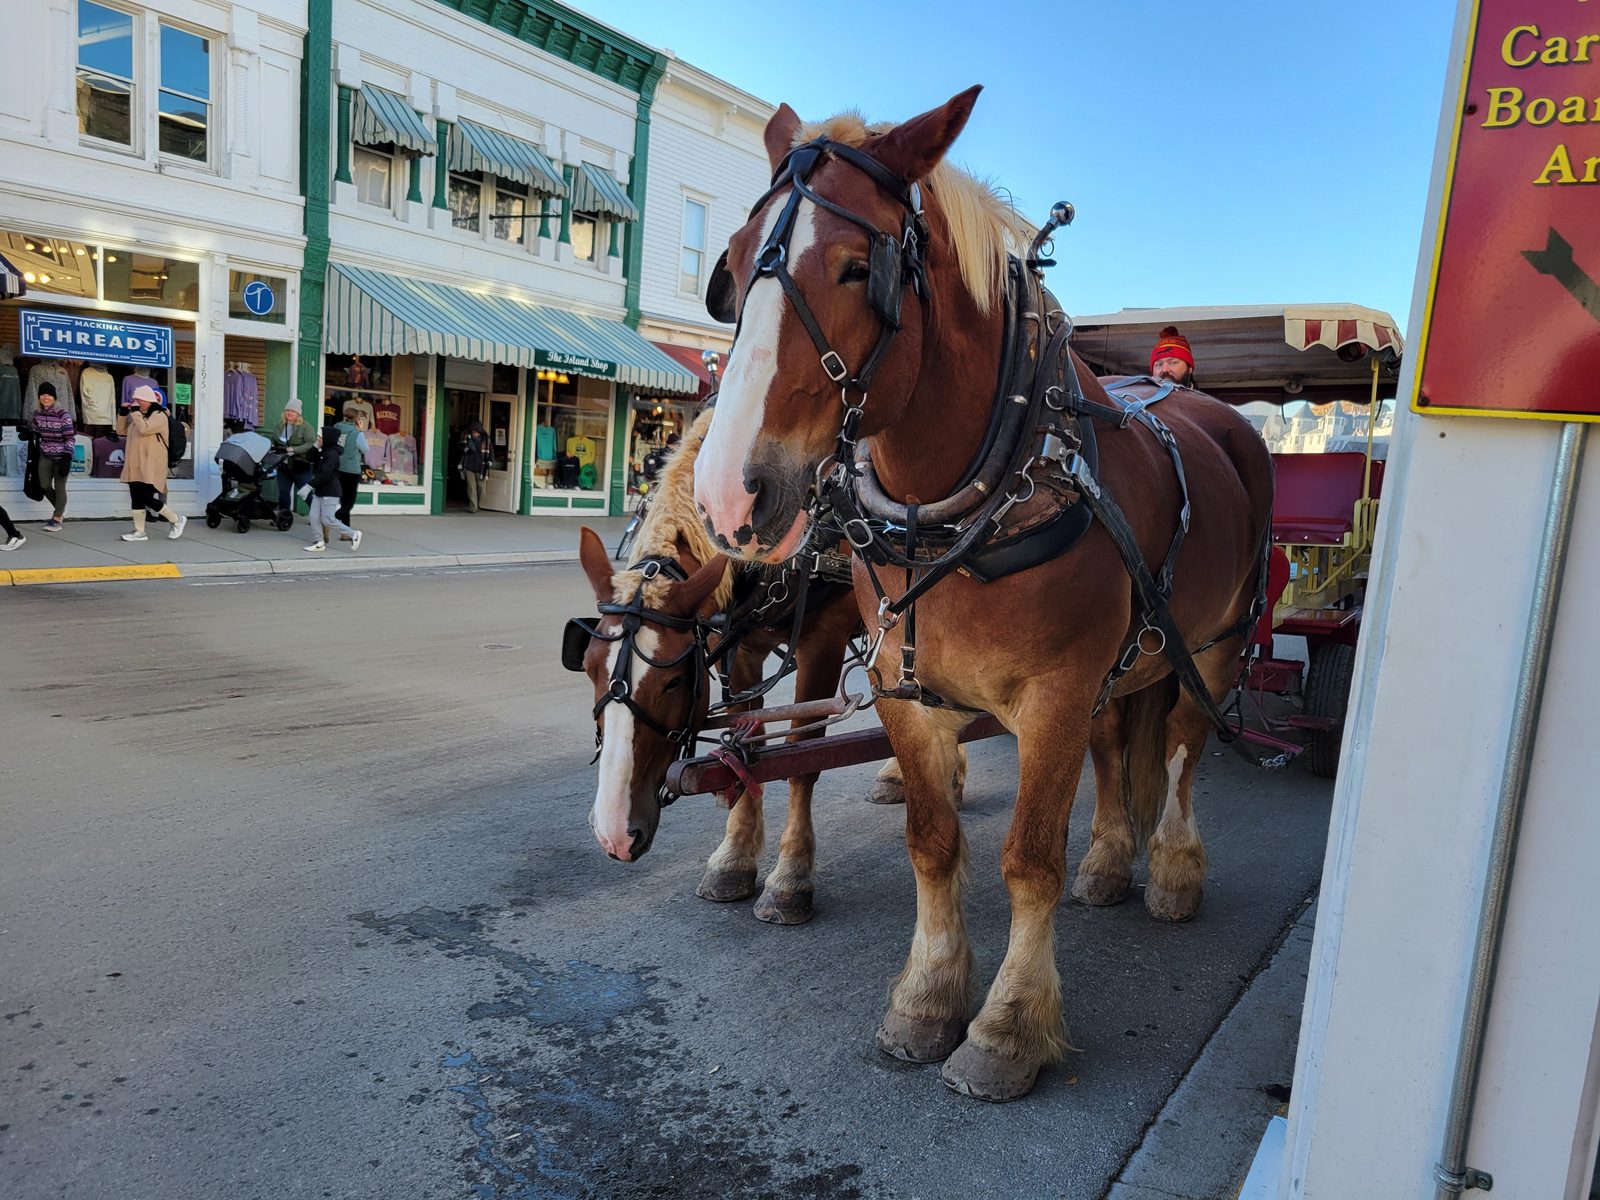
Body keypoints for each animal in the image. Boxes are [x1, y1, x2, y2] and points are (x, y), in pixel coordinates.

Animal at [570, 409, 961, 924]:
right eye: (589, 667)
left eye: (674, 681)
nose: (614, 831)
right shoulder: (740, 647)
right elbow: (747, 744)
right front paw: (733, 858)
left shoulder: (823, 641)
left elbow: (801, 757)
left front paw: (790, 877)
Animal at [691, 87, 1275, 1100]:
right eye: (729, 267)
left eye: (860, 268)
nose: (730, 493)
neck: (985, 485)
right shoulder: (907, 691)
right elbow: (933, 842)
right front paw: (928, 998)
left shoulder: (1054, 695)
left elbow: (1027, 860)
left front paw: (1007, 1027)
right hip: (1130, 661)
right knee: (1120, 747)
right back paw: (1111, 859)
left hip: (1214, 645)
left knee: (1181, 750)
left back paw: (1170, 869)